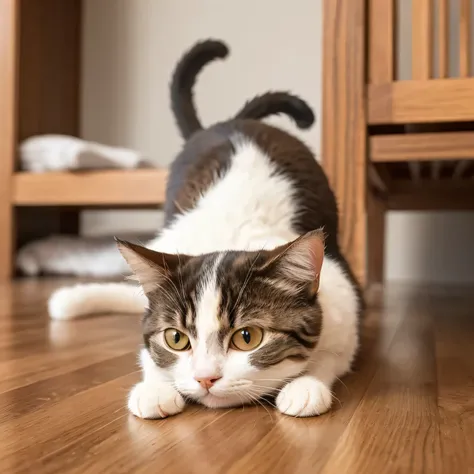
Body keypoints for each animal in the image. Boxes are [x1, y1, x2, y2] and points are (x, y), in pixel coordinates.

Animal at [48, 40, 362, 418]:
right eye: (176, 338)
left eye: (248, 337)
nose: (205, 378)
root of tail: (232, 120)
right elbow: (148, 353)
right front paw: (154, 388)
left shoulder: (343, 298)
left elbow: (333, 353)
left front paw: (305, 385)